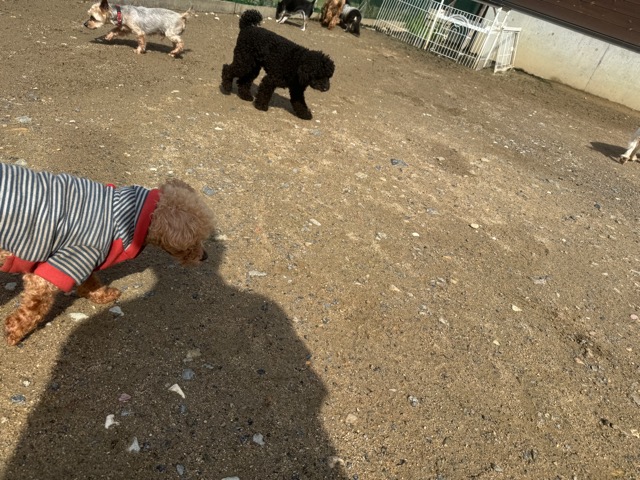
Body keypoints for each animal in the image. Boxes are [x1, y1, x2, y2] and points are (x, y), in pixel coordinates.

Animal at [0, 163, 215, 345]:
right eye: (194, 241)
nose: (205, 256)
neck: (131, 218)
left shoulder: (85, 257)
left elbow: (91, 282)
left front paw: (102, 295)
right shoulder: (68, 259)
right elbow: (33, 308)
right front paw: (14, 331)